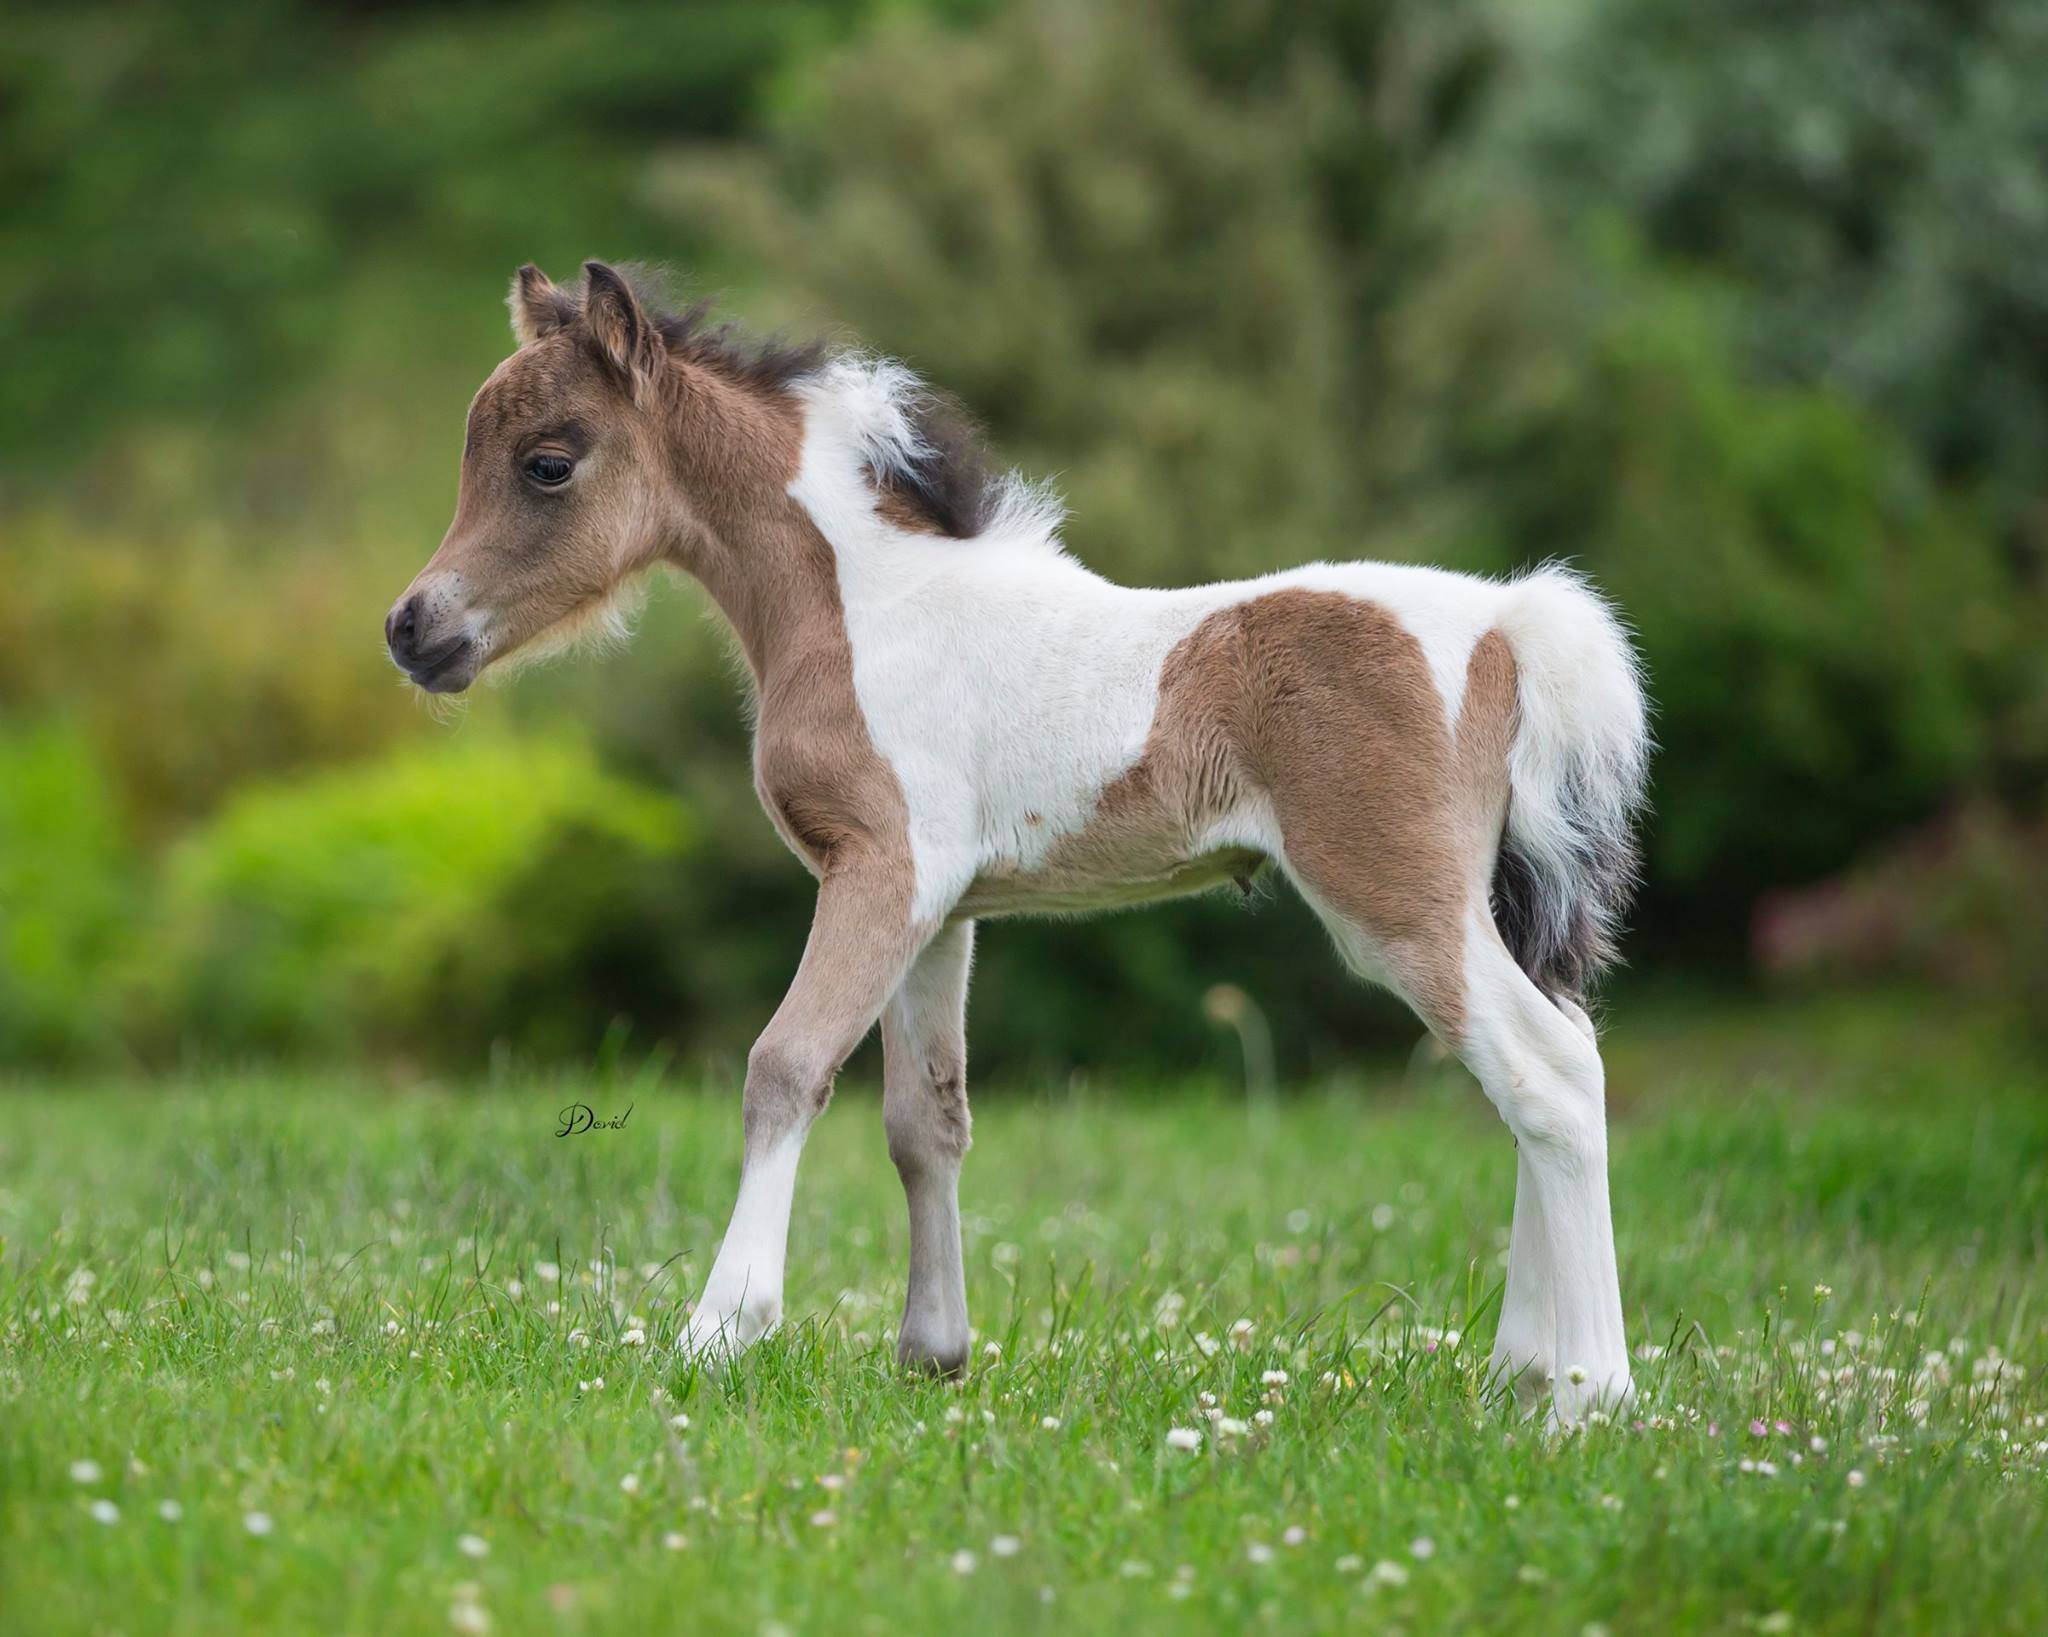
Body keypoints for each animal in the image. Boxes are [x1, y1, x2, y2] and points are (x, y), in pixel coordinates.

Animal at [385, 261, 1651, 1422]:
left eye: (547, 462)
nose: (412, 628)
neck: (864, 609)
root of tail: (1505, 624)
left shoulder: (882, 871)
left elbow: (785, 1067)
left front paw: (720, 1328)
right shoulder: (941, 909)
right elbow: (924, 1122)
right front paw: (932, 1352)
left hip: (1397, 900)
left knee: (1546, 1071)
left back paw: (1586, 1392)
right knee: (1546, 1067)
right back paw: (1521, 1372)